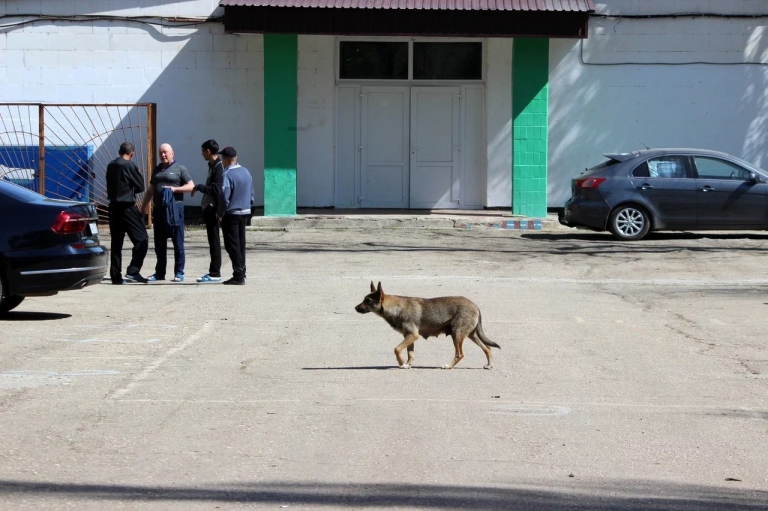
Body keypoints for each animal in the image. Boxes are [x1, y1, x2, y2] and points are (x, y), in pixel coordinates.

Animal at [352, 282, 498, 370]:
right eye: (364, 299)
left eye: (368, 301)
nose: (355, 308)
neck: (396, 308)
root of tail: (475, 306)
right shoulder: (409, 337)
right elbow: (410, 354)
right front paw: (407, 364)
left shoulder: (412, 335)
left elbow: (397, 349)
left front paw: (401, 362)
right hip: (469, 335)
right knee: (487, 348)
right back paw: (490, 364)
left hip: (457, 335)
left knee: (460, 354)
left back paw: (449, 366)